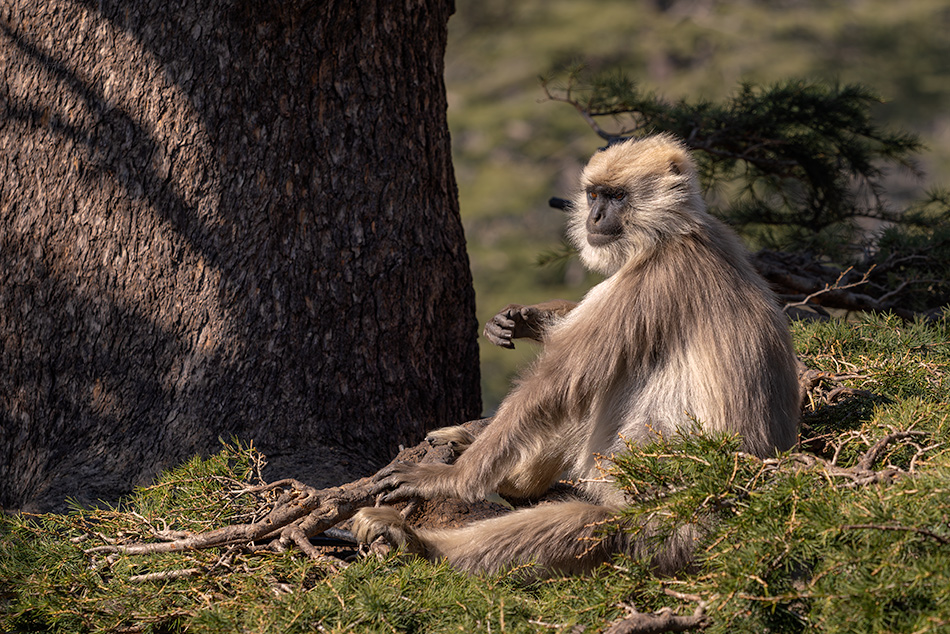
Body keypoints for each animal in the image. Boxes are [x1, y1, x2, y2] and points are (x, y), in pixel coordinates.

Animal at [354, 132, 800, 572]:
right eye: (594, 195)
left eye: (617, 197)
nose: (596, 217)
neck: (676, 233)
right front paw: (525, 319)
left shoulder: (653, 277)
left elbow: (558, 385)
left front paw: (449, 480)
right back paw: (503, 474)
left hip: (658, 502)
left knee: (599, 513)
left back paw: (422, 545)